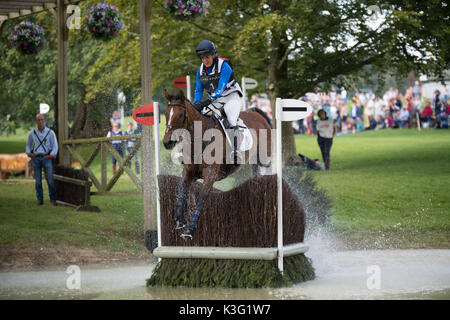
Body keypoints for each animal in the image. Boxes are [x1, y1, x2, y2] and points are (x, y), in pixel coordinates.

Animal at [163, 89, 272, 239]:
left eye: (180, 115)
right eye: (166, 114)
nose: (166, 142)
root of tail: (256, 113)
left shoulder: (210, 174)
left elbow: (201, 198)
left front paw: (189, 229)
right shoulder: (189, 171)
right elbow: (182, 191)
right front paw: (179, 220)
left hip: (264, 158)